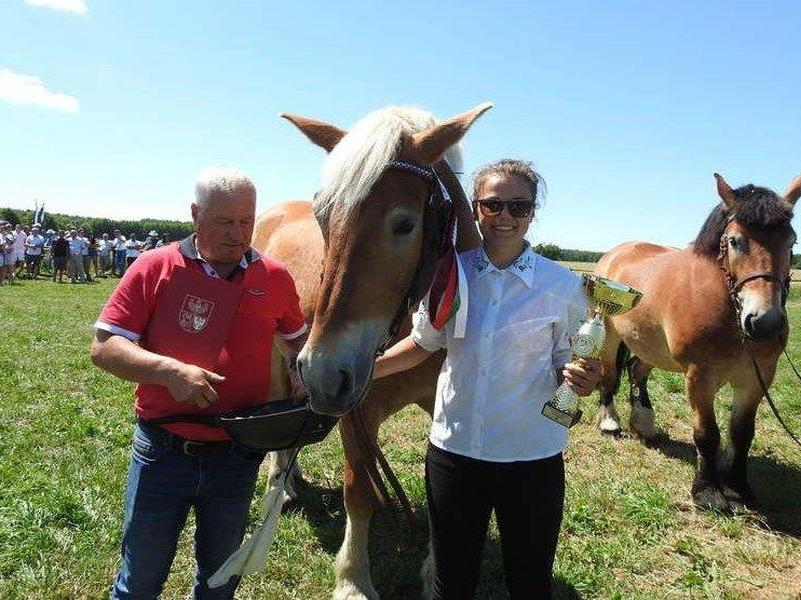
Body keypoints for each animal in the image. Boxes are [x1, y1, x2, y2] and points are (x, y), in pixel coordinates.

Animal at [253, 103, 488, 596]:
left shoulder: (441, 406)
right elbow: (358, 491)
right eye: (323, 217)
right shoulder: (355, 410)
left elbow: (440, 489)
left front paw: (434, 572)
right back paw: (280, 483)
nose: (323, 371)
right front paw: (353, 578)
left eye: (404, 223)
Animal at [592, 172, 800, 510]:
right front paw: (707, 491)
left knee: (637, 372)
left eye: (791, 240)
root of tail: (616, 253)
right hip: (610, 332)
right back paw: (610, 422)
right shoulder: (700, 376)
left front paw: (738, 487)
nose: (764, 323)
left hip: (650, 344)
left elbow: (742, 433)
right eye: (735, 241)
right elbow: (707, 433)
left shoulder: (757, 378)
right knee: (609, 375)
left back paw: (645, 424)